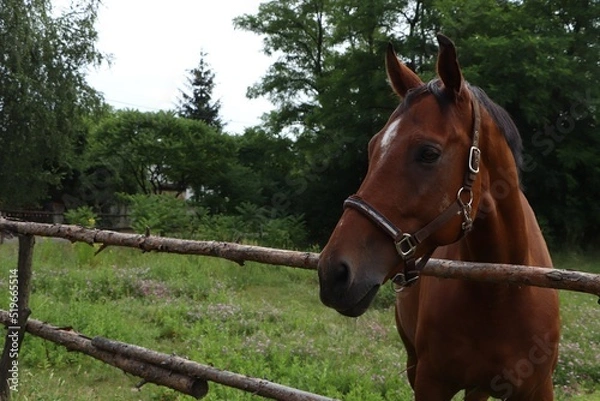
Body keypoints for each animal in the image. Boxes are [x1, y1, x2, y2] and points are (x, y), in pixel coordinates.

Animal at [316, 35, 560, 400]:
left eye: (428, 153)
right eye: (373, 148)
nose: (333, 272)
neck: (502, 292)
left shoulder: (539, 389)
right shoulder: (430, 382)